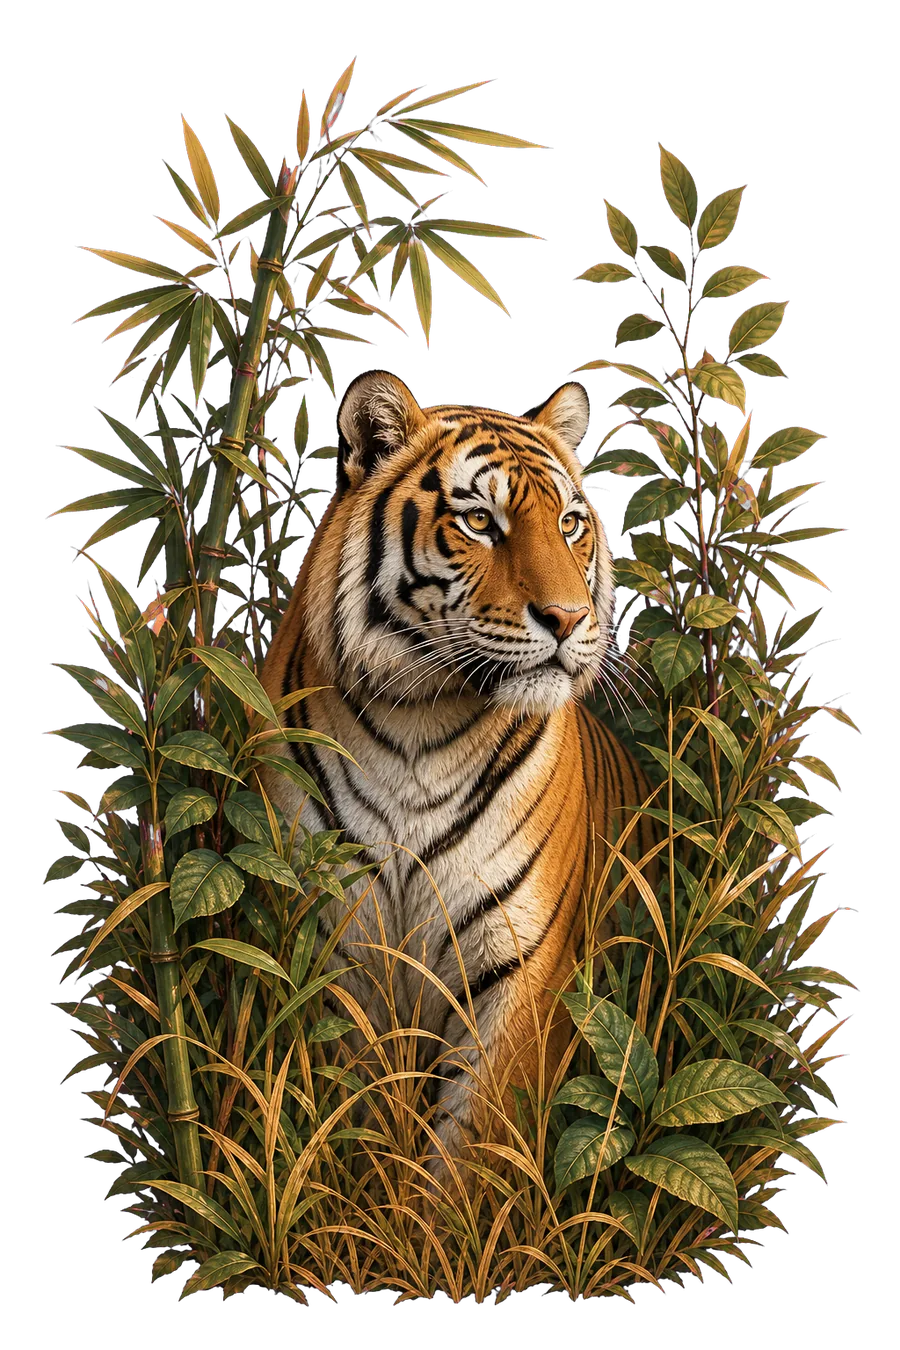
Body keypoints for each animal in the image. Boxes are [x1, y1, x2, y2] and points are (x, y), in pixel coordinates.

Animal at [258, 369, 656, 1178]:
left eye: (571, 523)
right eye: (479, 522)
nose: (569, 618)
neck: (420, 723)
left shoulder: (520, 969)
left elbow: (469, 1157)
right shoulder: (335, 947)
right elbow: (349, 1128)